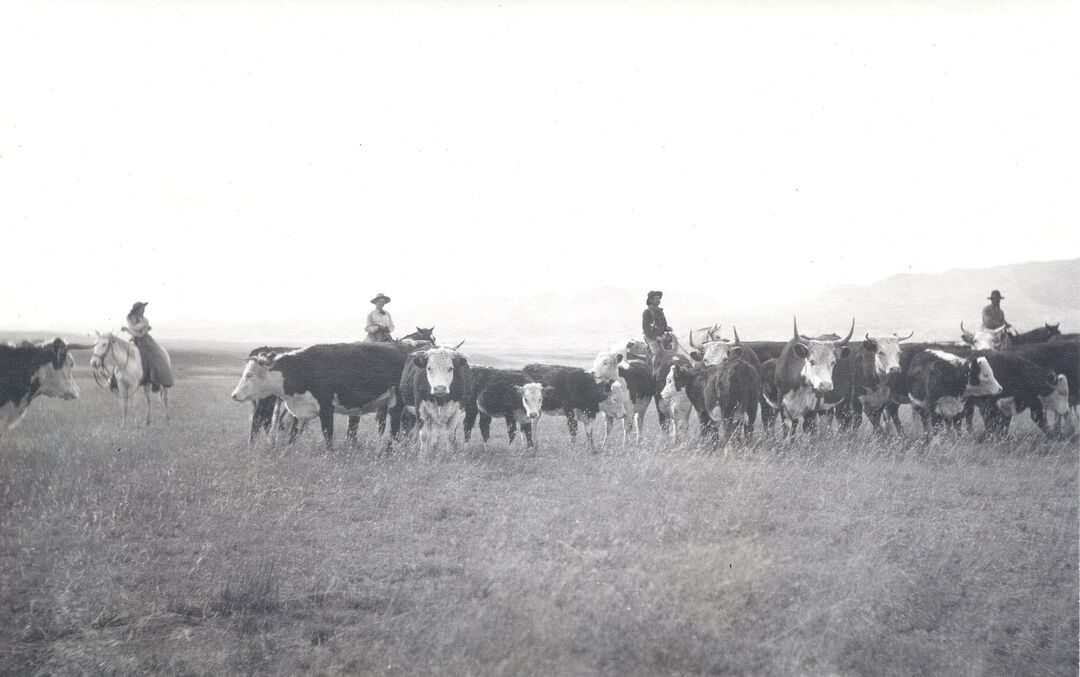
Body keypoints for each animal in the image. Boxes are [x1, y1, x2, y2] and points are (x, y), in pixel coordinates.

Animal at [230, 343, 406, 451]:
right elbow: (293, 434)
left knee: (394, 430)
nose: (234, 395)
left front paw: (330, 454)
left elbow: (327, 433)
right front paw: (286, 451)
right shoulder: (298, 411)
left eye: (250, 375)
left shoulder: (326, 408)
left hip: (396, 403)